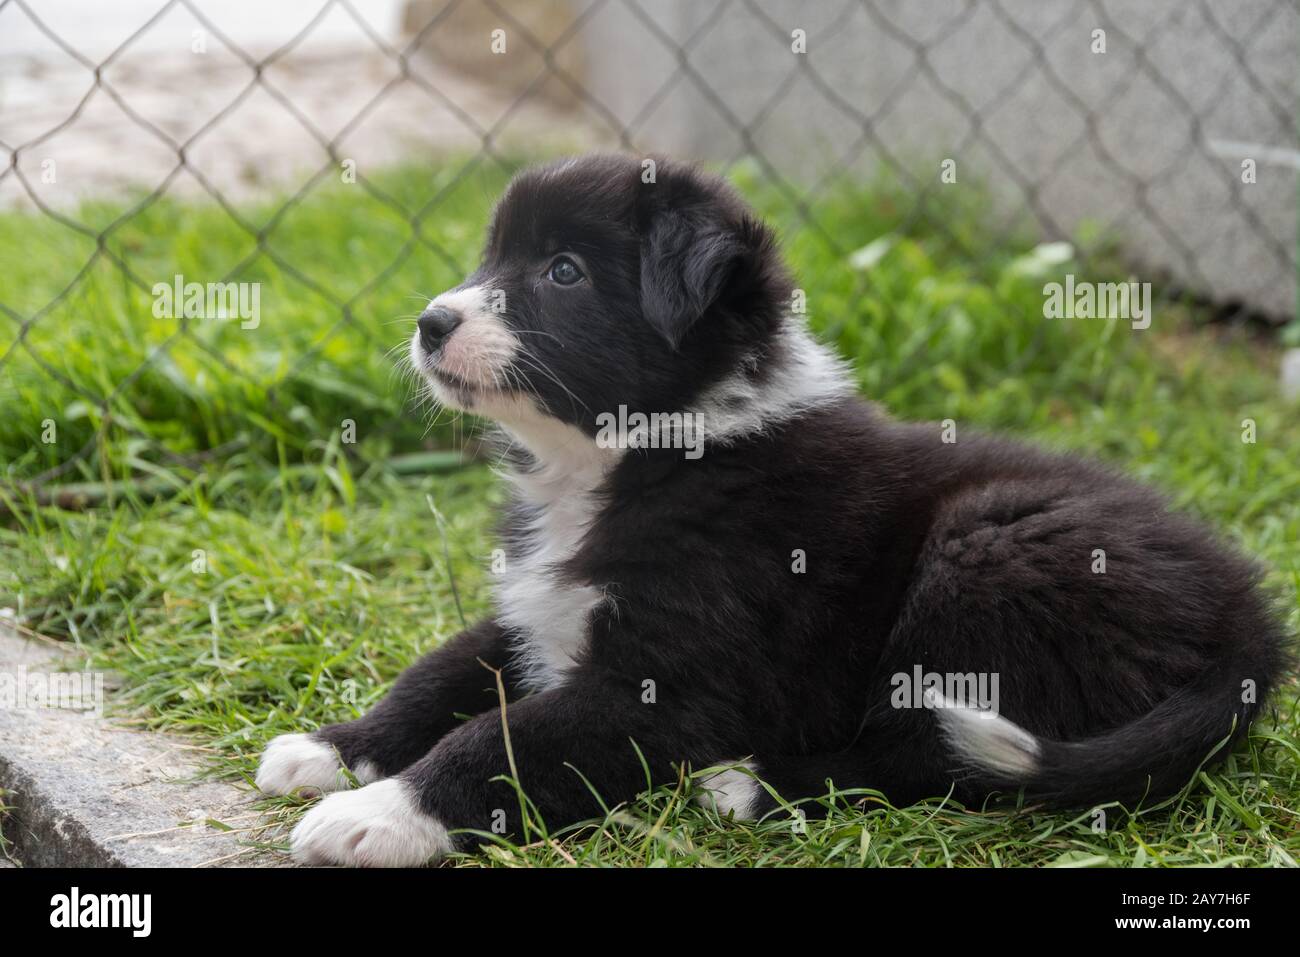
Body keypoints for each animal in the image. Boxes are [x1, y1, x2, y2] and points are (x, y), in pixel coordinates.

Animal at [256, 151, 1289, 868]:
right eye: (491, 256)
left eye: (563, 272)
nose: (431, 323)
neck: (627, 459)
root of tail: (1254, 626)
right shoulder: (537, 611)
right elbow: (438, 674)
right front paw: (333, 748)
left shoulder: (665, 688)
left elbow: (504, 736)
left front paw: (377, 816)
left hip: (985, 553)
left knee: (937, 762)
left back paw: (750, 787)